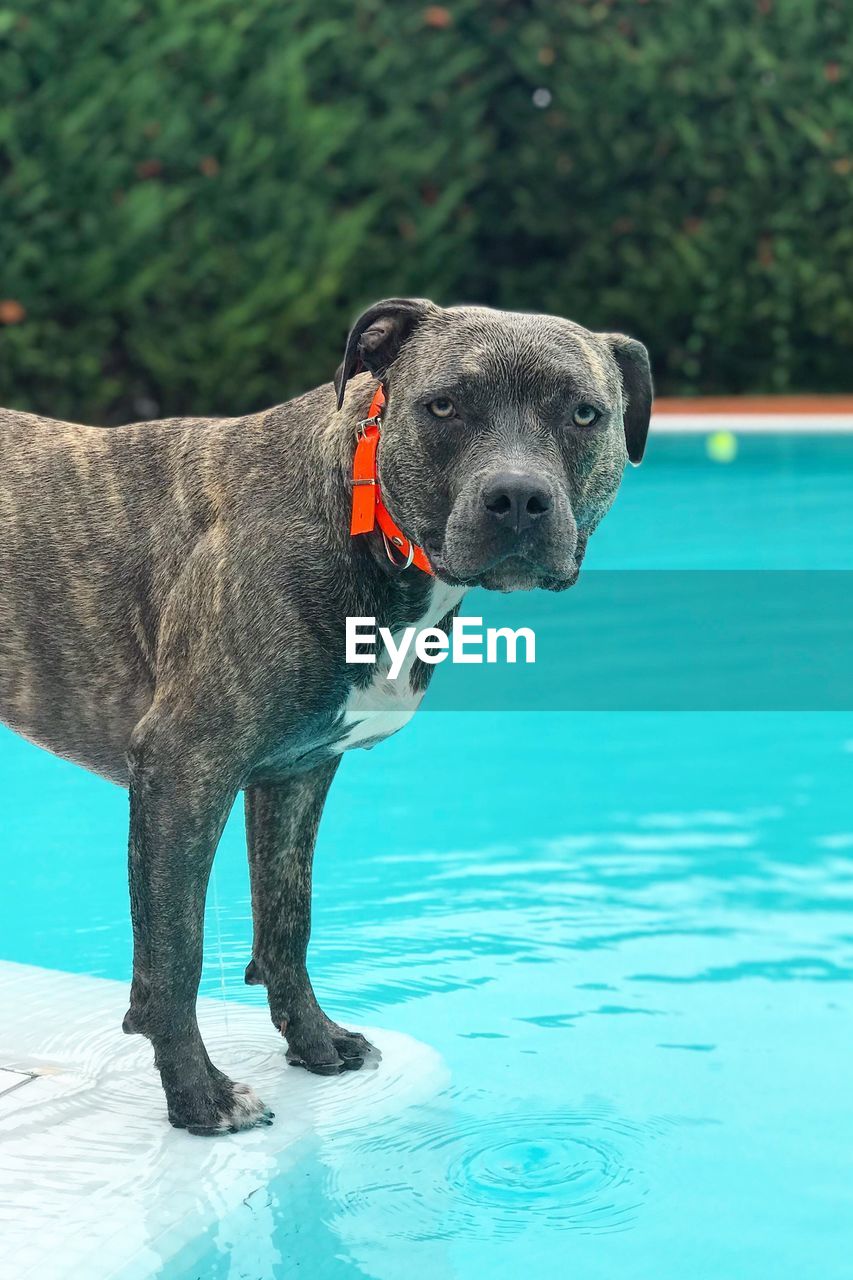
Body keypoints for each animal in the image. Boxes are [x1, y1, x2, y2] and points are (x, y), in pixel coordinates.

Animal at [1, 296, 650, 1131]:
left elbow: (287, 920)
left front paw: (311, 1041)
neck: (361, 514)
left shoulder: (296, 776)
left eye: (582, 414)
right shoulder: (185, 773)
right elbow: (175, 956)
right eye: (444, 407)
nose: (515, 497)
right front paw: (197, 1096)